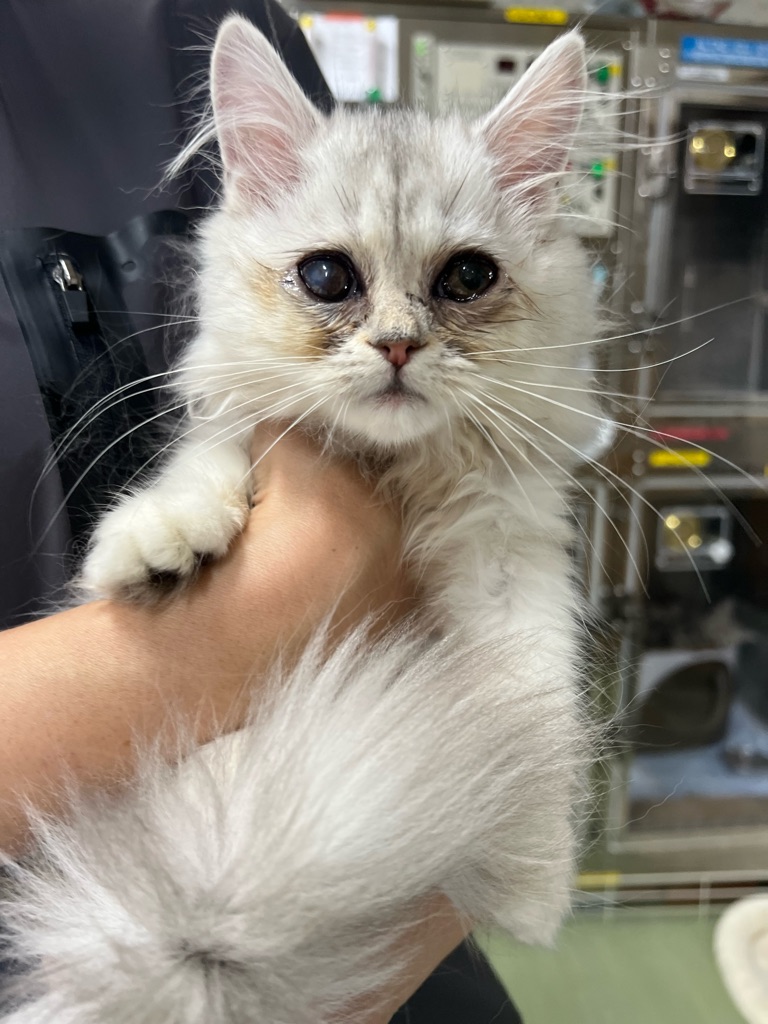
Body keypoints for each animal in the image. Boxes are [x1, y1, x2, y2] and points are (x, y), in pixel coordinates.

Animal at [1, 16, 601, 1024]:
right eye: (327, 277)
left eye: (467, 277)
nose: (397, 347)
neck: (391, 470)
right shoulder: (236, 428)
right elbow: (204, 468)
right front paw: (157, 544)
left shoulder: (513, 557)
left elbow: (532, 707)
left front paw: (532, 881)